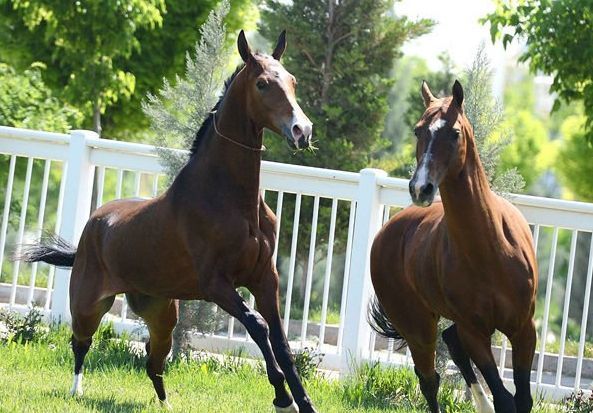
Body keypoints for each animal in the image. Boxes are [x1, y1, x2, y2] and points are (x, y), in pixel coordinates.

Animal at [22, 29, 320, 412]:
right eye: (263, 83)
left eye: (293, 81)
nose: (302, 131)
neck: (231, 200)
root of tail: (93, 227)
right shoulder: (216, 284)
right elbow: (258, 326)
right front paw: (282, 397)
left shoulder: (265, 278)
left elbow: (282, 342)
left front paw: (304, 402)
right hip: (89, 305)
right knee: (81, 342)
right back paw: (77, 391)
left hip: (162, 313)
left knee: (153, 357)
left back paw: (164, 402)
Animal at [368, 81, 536, 412]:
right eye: (418, 131)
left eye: (454, 132)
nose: (421, 188)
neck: (490, 251)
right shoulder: (475, 333)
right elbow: (504, 398)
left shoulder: (525, 329)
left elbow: (522, 399)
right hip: (417, 326)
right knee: (430, 379)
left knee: (451, 343)